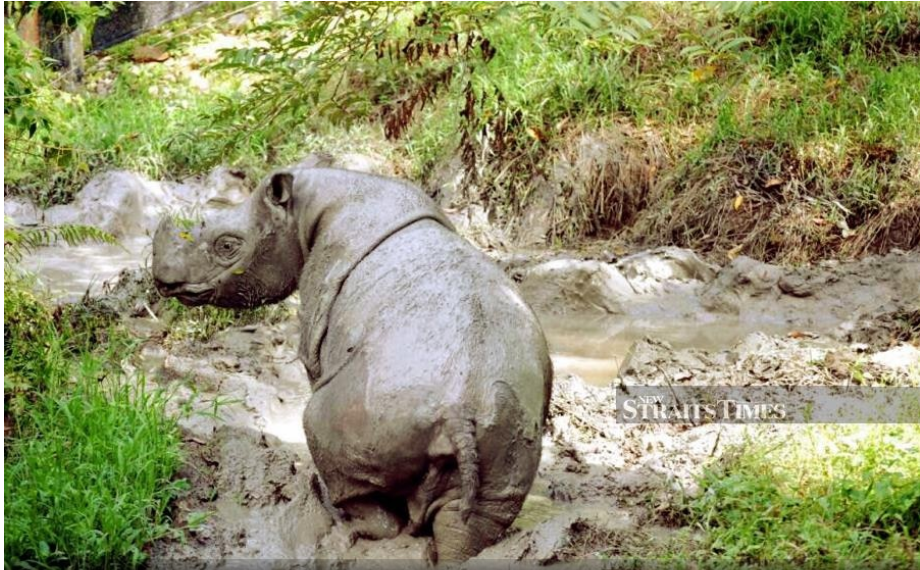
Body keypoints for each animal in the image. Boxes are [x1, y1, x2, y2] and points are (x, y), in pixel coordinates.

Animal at [152, 166, 553, 561]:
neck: (307, 204)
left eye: (227, 245)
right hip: (508, 417)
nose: (162, 280)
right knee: (476, 517)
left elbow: (313, 367)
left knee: (322, 427)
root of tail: (459, 412)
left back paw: (337, 516)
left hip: (381, 402)